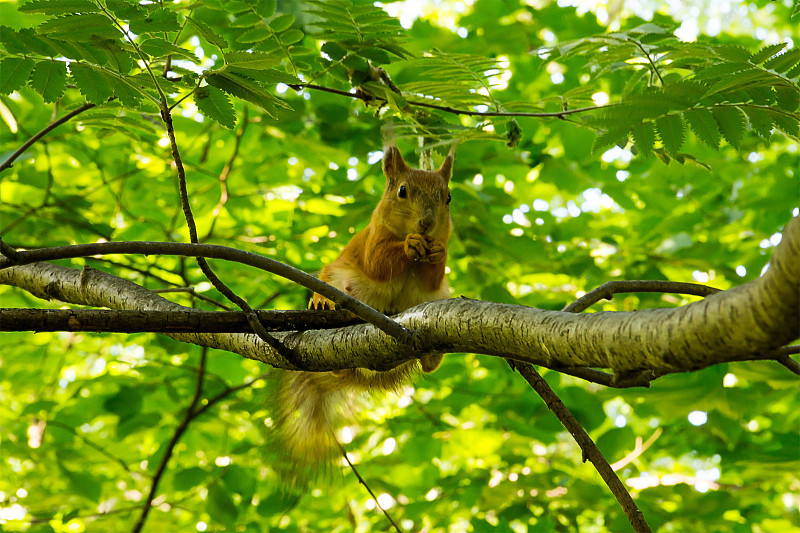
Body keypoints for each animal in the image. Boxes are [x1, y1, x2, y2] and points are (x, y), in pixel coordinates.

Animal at [270, 138, 454, 482]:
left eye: (448, 197)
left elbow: (432, 275)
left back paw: (432, 356)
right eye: (402, 191)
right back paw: (322, 303)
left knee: (427, 362)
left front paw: (437, 251)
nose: (426, 223)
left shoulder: (435, 278)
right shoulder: (371, 242)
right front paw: (410, 244)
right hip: (337, 279)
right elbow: (378, 262)